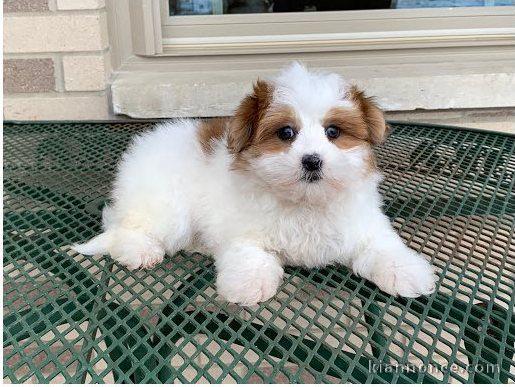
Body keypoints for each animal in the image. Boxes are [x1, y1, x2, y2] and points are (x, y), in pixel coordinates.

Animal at [74, 63, 438, 306]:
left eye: (333, 132)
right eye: (286, 133)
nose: (312, 160)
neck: (305, 202)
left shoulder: (363, 225)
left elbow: (383, 245)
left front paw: (405, 270)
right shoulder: (240, 229)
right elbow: (249, 253)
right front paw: (248, 283)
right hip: (164, 206)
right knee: (130, 229)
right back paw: (141, 250)